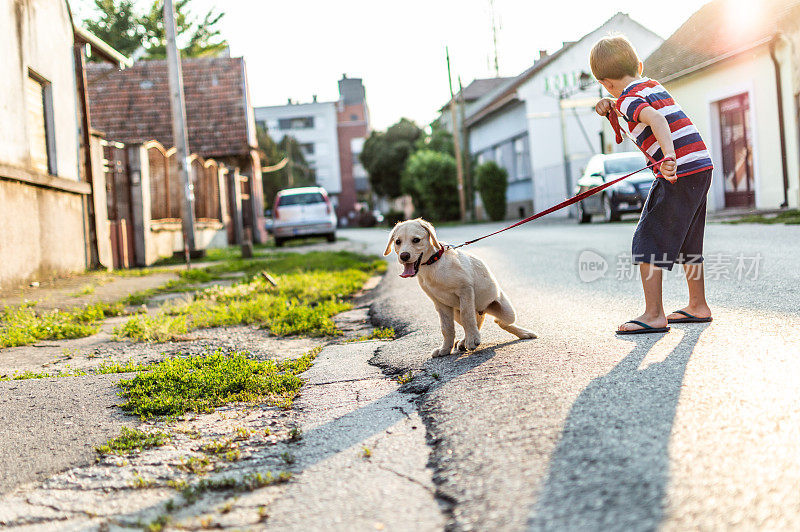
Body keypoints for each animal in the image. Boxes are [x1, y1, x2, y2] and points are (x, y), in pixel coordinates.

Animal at [382, 216, 536, 358]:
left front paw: (472, 340)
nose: (404, 256)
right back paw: (463, 341)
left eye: (416, 240)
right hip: (456, 312)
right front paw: (445, 349)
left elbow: (467, 315)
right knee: (479, 321)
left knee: (499, 321)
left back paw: (523, 333)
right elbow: (447, 328)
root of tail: (483, 310)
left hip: (507, 312)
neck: (433, 264)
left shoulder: (465, 289)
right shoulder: (440, 303)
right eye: (398, 242)